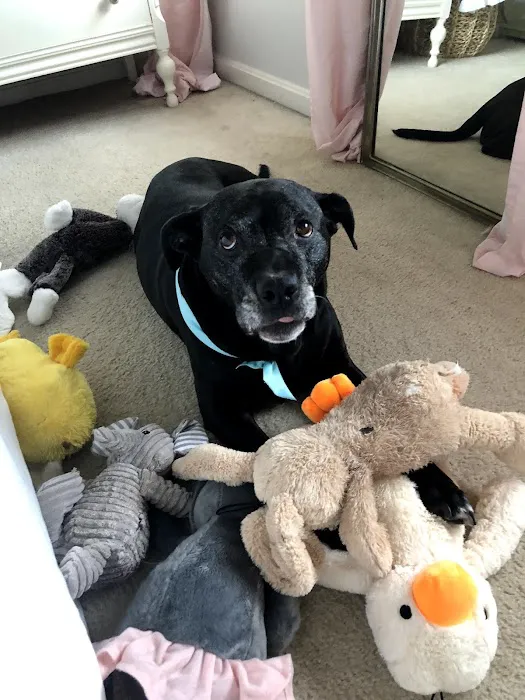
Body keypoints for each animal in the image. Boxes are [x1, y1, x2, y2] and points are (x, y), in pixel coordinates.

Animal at [124, 157, 473, 526]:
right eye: (227, 240)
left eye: (304, 228)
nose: (279, 289)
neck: (278, 351)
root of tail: (186, 160)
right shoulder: (220, 409)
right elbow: (267, 457)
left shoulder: (338, 366)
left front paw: (442, 487)